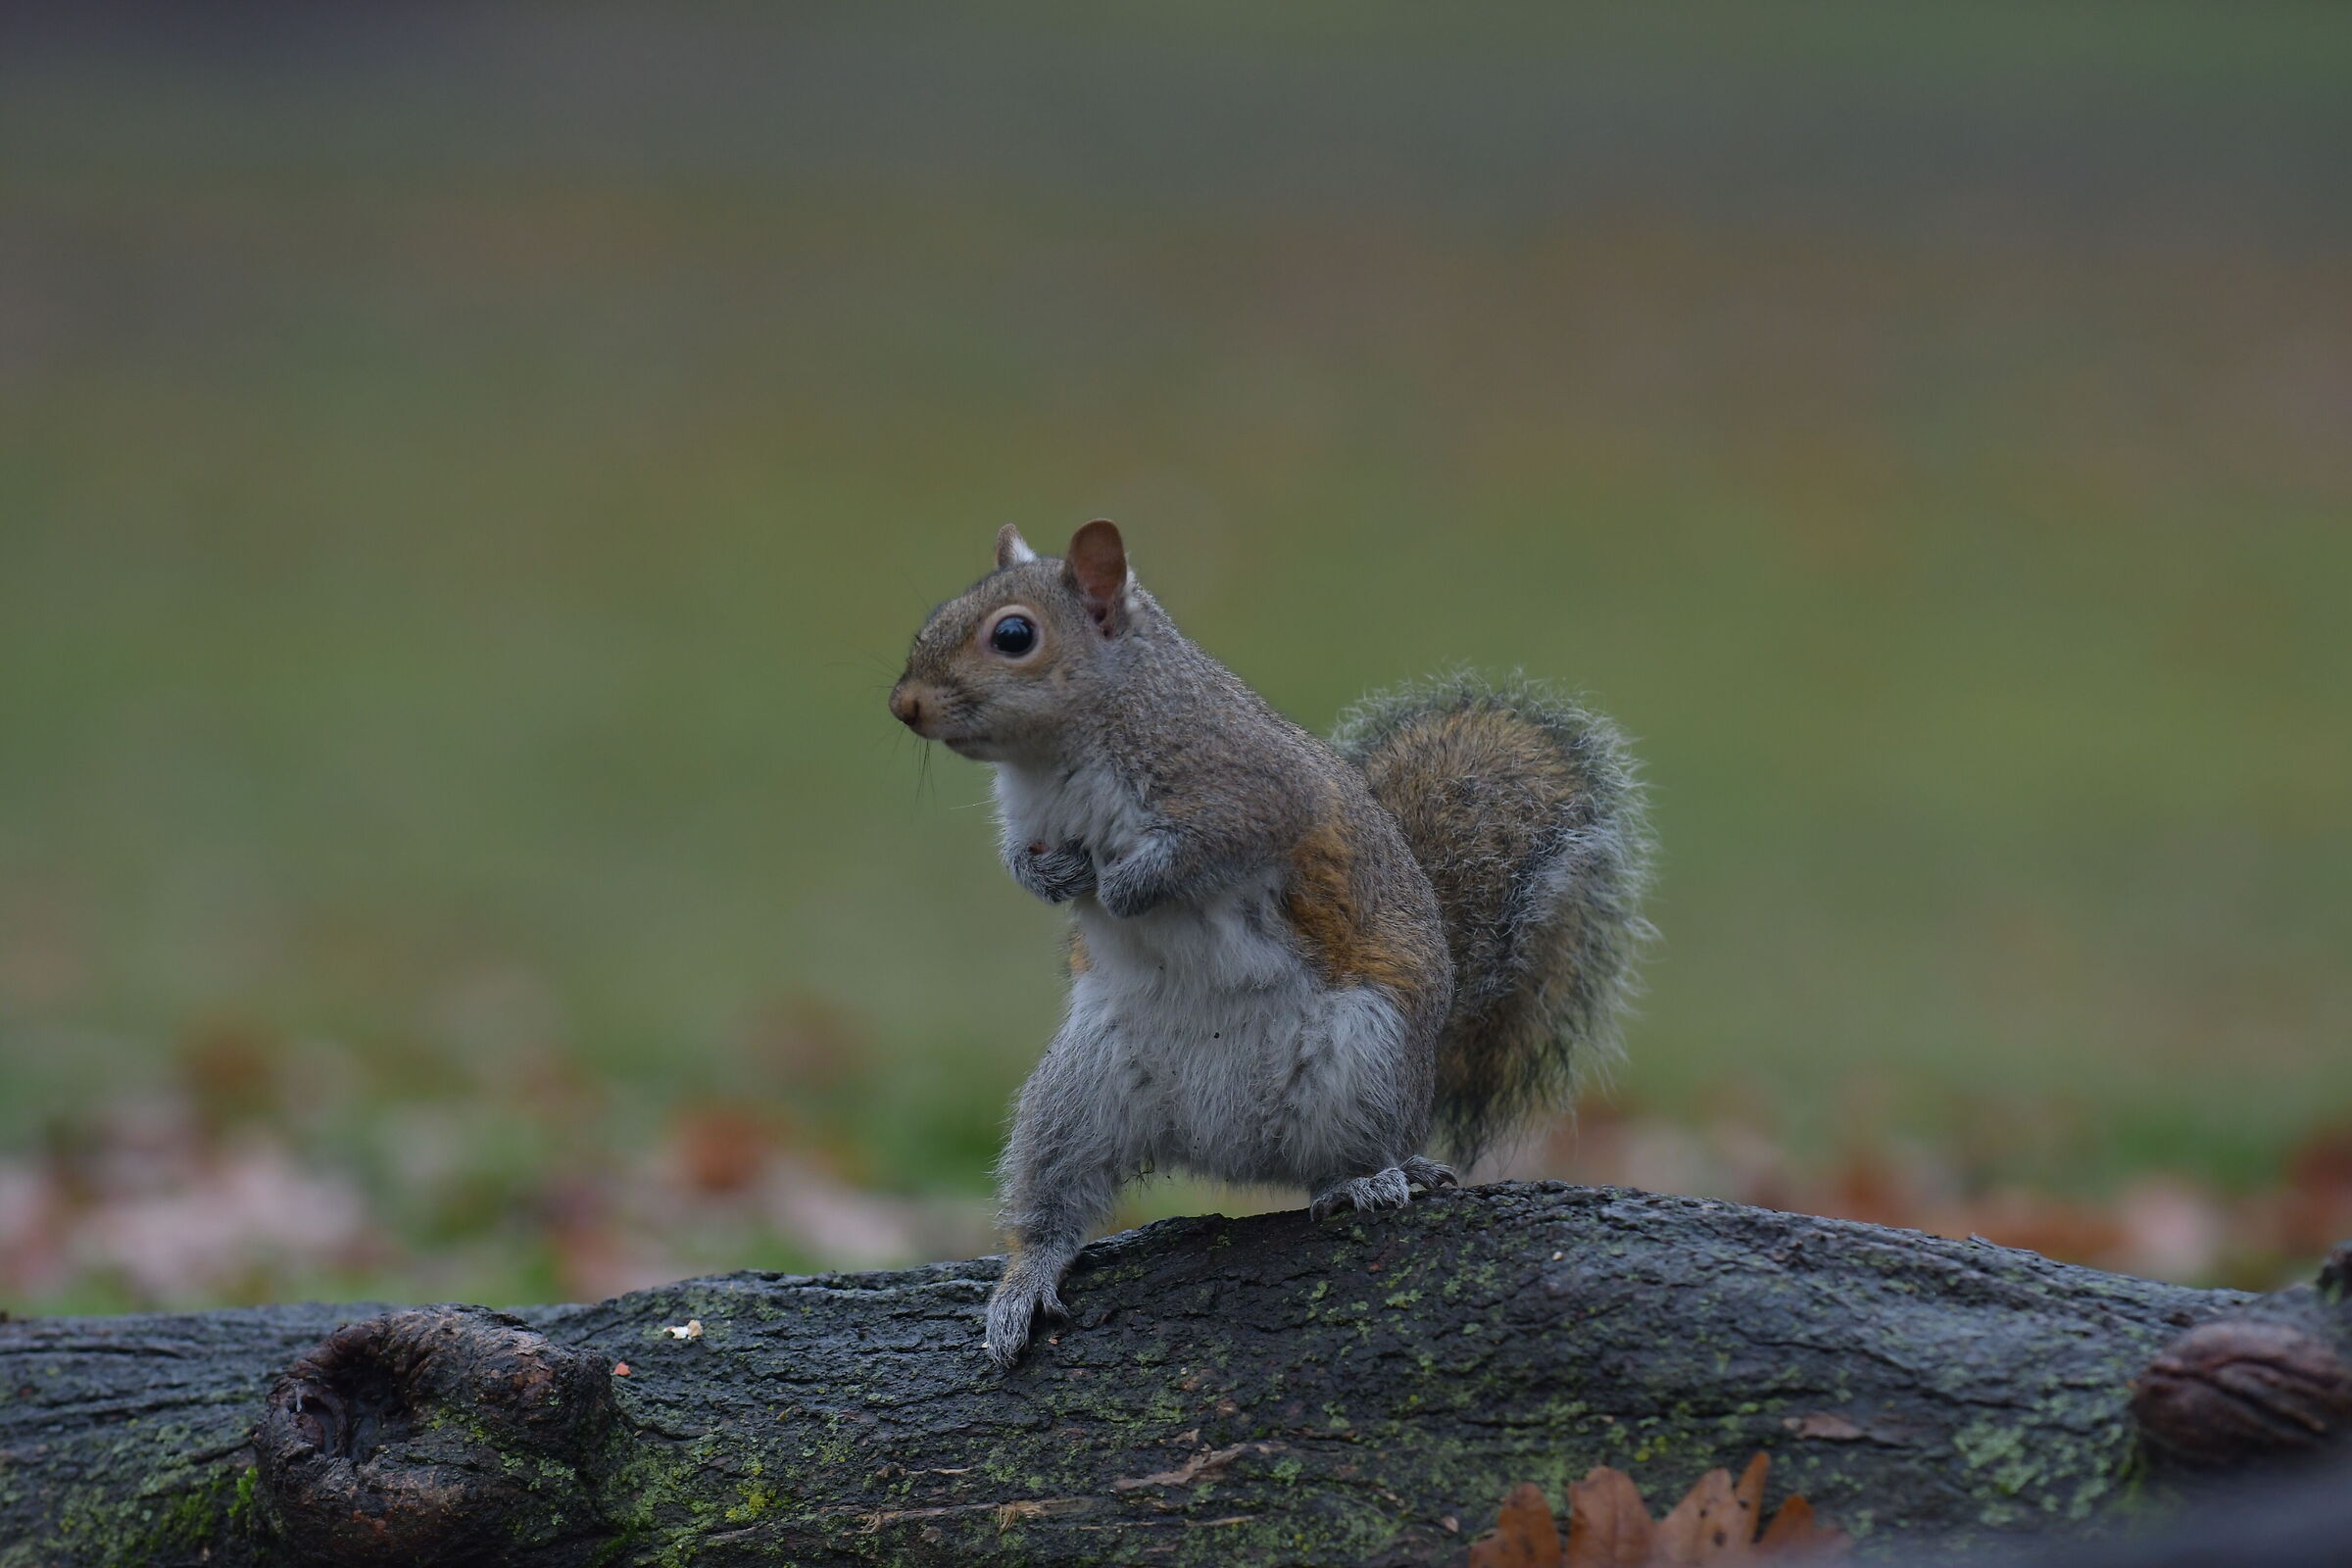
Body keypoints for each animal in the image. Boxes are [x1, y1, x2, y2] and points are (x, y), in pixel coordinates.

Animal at [890, 521, 1652, 1367]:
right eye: (938, 614)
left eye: (1014, 636)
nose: (904, 704)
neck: (1061, 753)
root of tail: (1222, 1147)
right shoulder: (1028, 819)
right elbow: (1019, 864)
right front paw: (1054, 877)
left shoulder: (1250, 789)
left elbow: (1202, 851)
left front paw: (1125, 888)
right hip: (1077, 1093)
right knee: (1054, 1199)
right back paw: (1027, 1277)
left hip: (1366, 1059)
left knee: (1350, 1157)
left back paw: (1368, 1181)